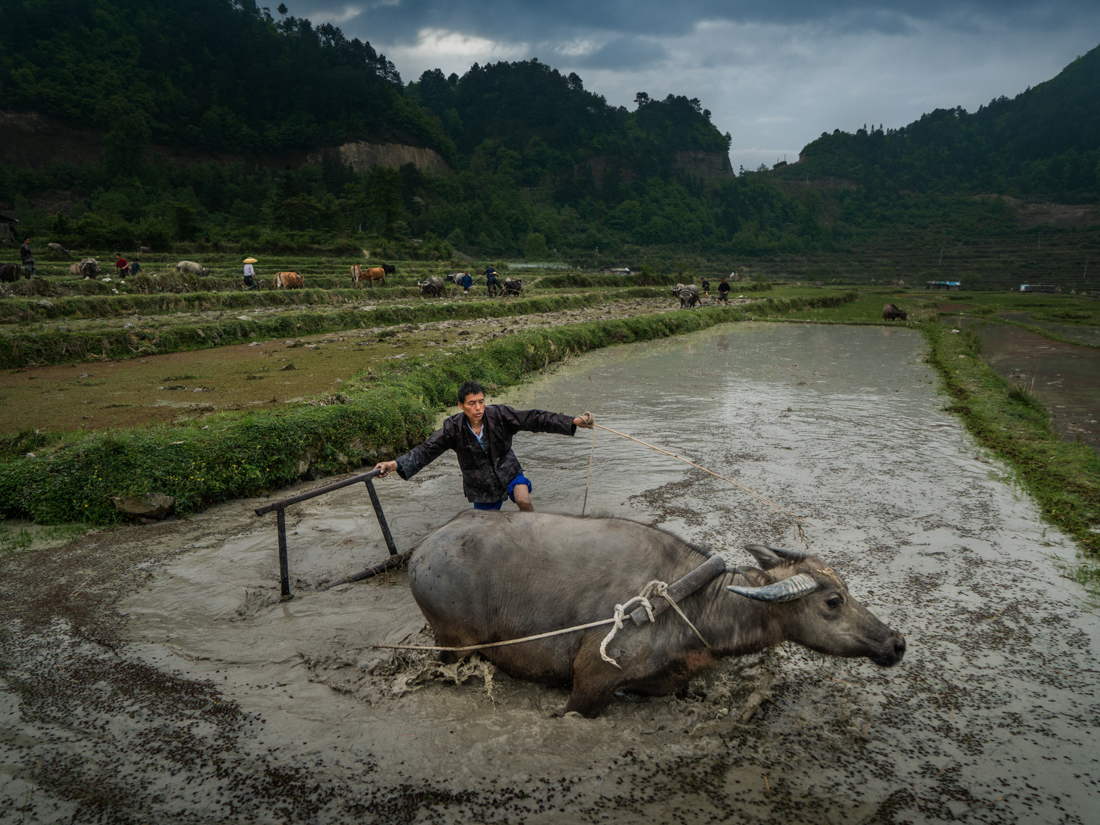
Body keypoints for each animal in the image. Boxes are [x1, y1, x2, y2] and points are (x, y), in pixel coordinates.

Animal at [409, 514, 906, 721]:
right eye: (833, 602)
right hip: (453, 644)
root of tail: (421, 551)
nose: (896, 642)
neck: (690, 602)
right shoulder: (589, 682)